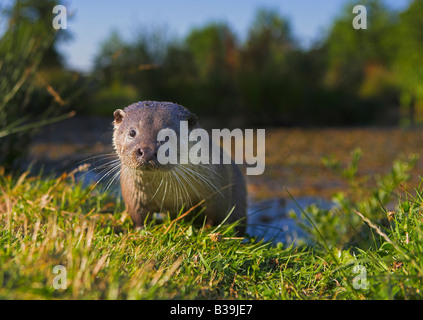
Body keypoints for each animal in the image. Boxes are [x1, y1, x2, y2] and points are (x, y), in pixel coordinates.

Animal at [112, 101, 248, 234]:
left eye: (168, 136)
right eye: (132, 132)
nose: (147, 151)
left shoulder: (218, 190)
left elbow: (216, 215)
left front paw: (208, 230)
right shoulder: (133, 193)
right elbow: (138, 215)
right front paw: (141, 231)